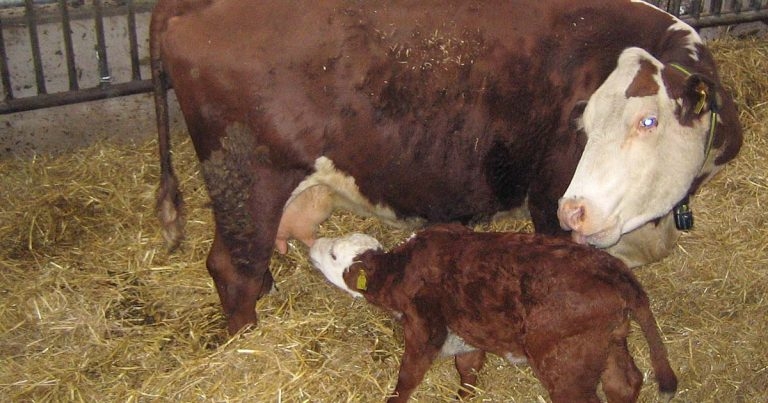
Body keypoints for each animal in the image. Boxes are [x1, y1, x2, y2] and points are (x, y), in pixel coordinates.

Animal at [150, 0, 742, 334]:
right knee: (233, 267)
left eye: (649, 121)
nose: (577, 210)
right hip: (245, 176)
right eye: (585, 124)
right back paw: (244, 335)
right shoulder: (548, 199)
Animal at [309, 224, 678, 403]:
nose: (313, 244)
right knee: (624, 383)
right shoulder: (467, 334)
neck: (400, 270)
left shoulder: (423, 330)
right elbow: (468, 370)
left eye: (334, 255)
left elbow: (408, 378)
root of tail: (613, 269)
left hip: (566, 364)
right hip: (609, 342)